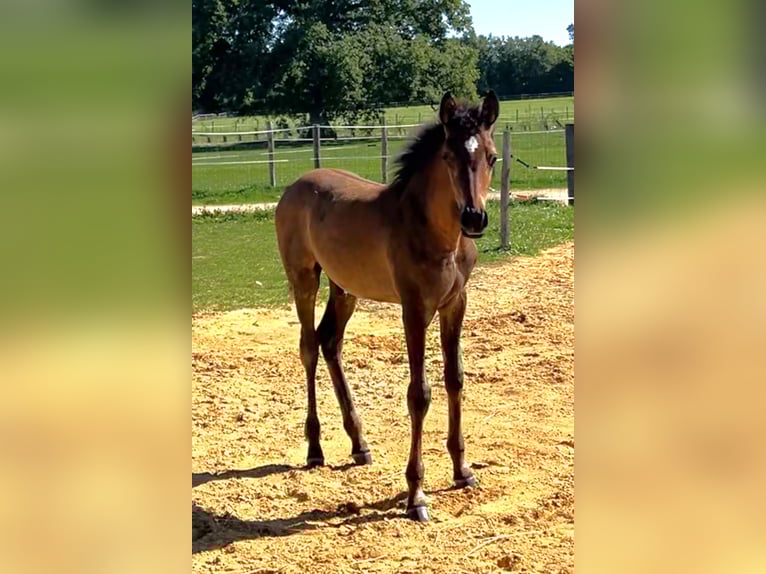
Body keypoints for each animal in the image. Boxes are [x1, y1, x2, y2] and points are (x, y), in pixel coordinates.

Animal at [275, 90, 499, 521]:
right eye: (448, 155)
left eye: (493, 157)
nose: (474, 218)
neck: (437, 234)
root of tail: (294, 186)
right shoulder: (414, 309)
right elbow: (419, 394)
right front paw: (416, 496)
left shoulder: (455, 304)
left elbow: (455, 379)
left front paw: (462, 470)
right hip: (305, 278)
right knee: (308, 347)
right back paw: (315, 448)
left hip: (345, 288)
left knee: (330, 342)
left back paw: (359, 444)